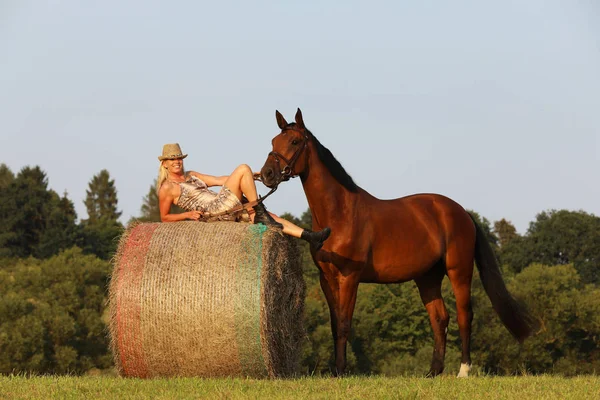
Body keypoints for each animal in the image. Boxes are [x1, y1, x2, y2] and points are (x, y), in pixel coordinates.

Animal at [258, 108, 536, 376]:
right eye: (273, 141)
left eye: (294, 141)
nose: (267, 174)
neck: (339, 214)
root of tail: (462, 212)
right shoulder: (326, 279)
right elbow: (335, 325)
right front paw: (336, 370)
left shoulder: (349, 276)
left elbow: (345, 323)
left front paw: (341, 371)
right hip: (428, 277)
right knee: (440, 318)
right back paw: (433, 371)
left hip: (459, 271)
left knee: (464, 315)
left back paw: (463, 370)